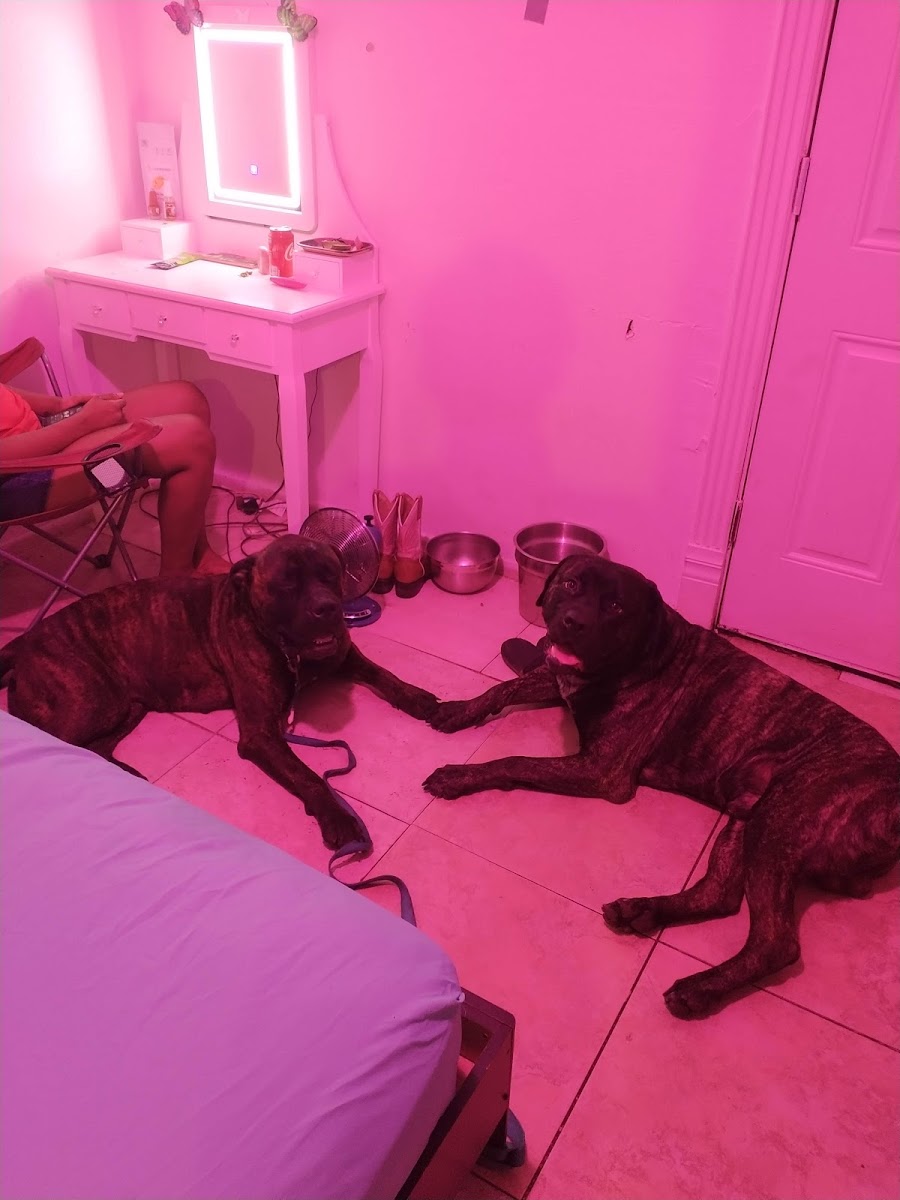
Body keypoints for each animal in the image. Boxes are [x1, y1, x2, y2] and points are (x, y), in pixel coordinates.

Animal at [0, 536, 438, 851]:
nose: (328, 607)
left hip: (127, 707)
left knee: (95, 748)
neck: (290, 651)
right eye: (287, 583)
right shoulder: (261, 735)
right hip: (93, 701)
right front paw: (338, 816)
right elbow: (309, 775)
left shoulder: (346, 658)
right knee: (59, 742)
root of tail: (23, 642)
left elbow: (386, 676)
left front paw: (422, 700)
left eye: (330, 574)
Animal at [423, 554, 900, 1018]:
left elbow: (515, 760)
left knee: (776, 942)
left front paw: (459, 775)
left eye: (616, 607)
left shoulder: (601, 769)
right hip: (748, 819)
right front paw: (461, 710)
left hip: (779, 821)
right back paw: (644, 911)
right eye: (572, 584)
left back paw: (699, 989)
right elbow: (505, 687)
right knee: (719, 895)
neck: (638, 653)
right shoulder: (559, 680)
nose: (573, 622)